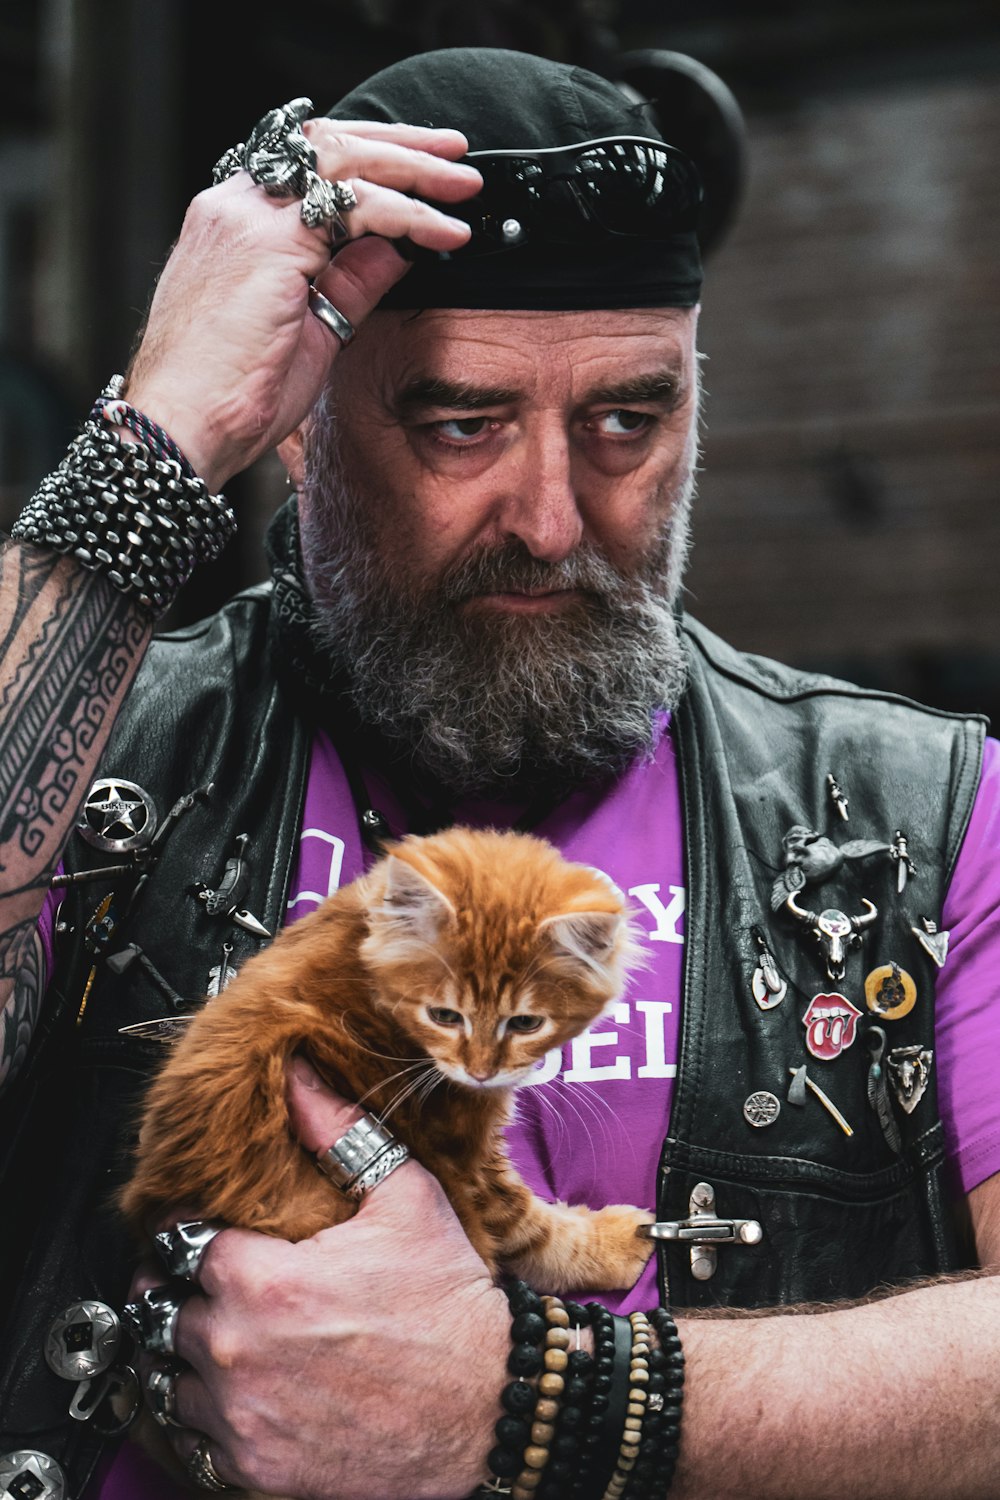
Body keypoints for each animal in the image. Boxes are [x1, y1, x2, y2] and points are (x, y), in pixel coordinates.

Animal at [122, 828, 656, 1494]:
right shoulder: (467, 1164)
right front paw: (619, 1241)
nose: (481, 1071)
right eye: (445, 1015)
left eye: (526, 1022)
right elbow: (540, 1232)